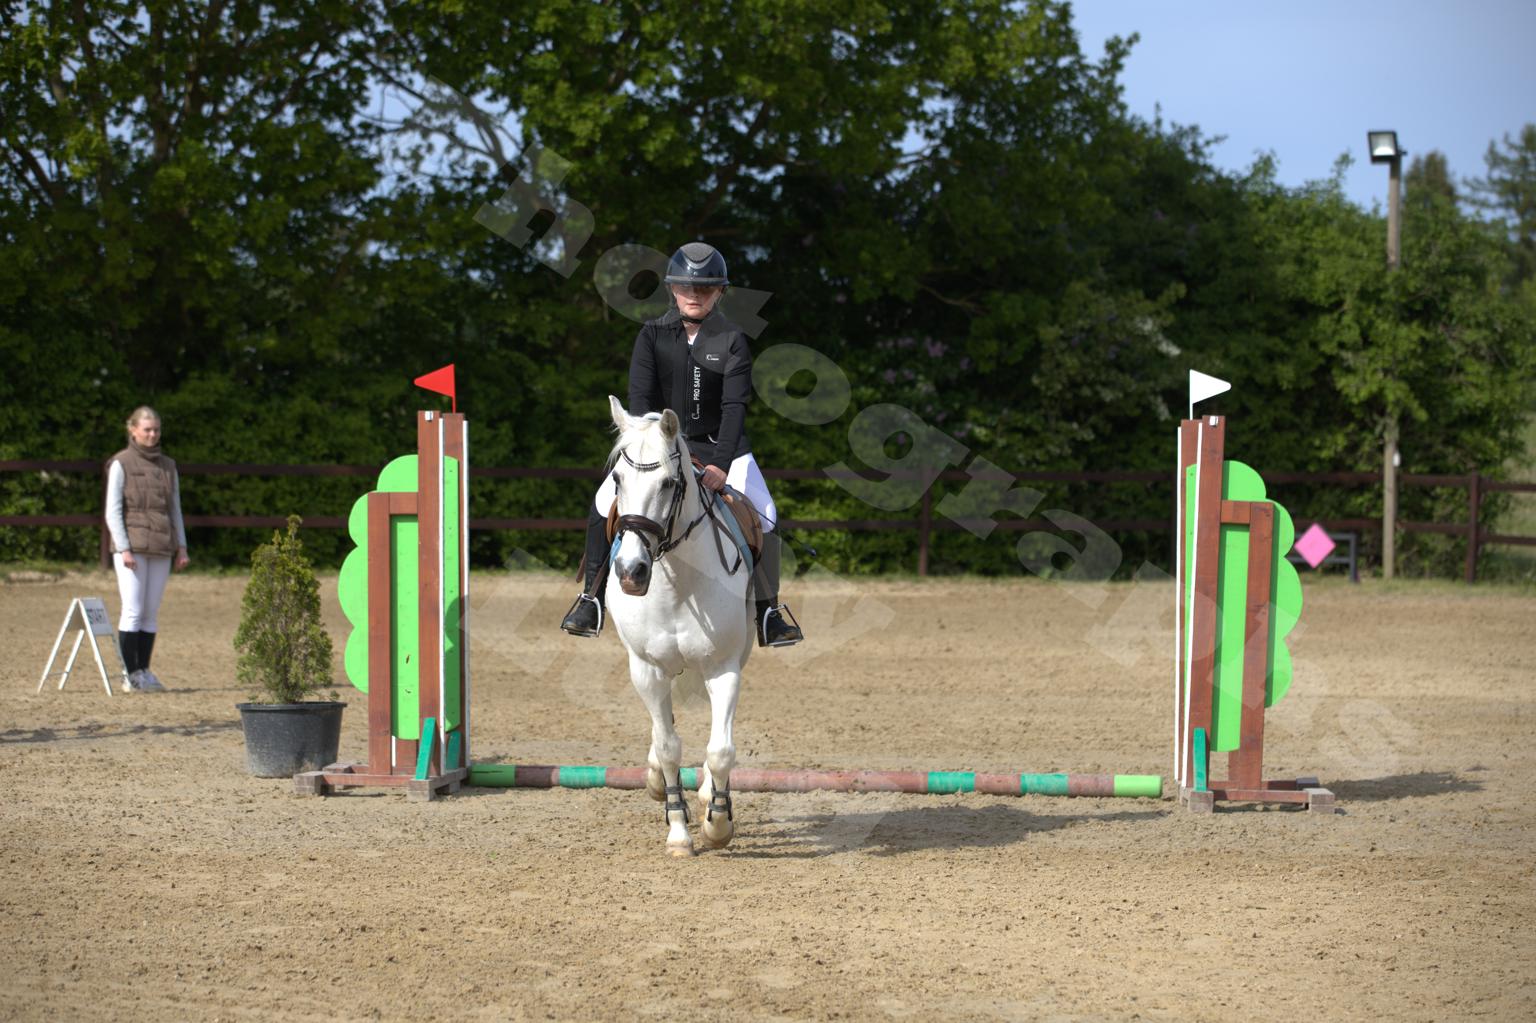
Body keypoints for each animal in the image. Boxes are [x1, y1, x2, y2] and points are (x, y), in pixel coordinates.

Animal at [603, 396, 754, 857]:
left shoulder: (723, 667)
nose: (631, 572)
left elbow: (721, 749)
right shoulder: (647, 669)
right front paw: (678, 832)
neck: (676, 583)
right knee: (662, 730)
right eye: (617, 478)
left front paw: (717, 823)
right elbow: (668, 746)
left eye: (669, 484)